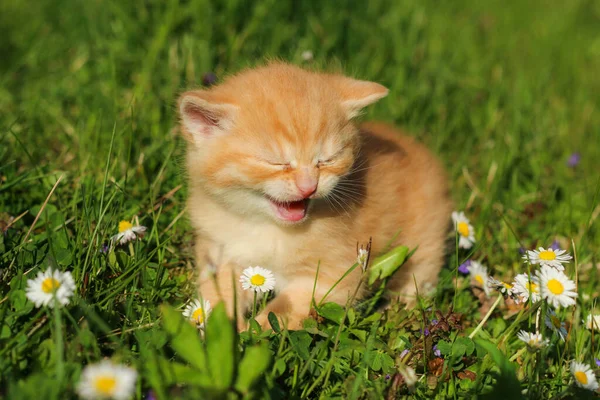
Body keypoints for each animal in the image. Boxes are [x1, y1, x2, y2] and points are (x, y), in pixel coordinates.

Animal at [177, 63, 450, 332]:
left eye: (326, 160)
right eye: (277, 163)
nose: (309, 187)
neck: (268, 228)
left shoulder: (332, 277)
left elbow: (283, 310)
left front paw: (254, 331)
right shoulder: (223, 252)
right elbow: (218, 291)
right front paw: (215, 323)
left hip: (425, 242)